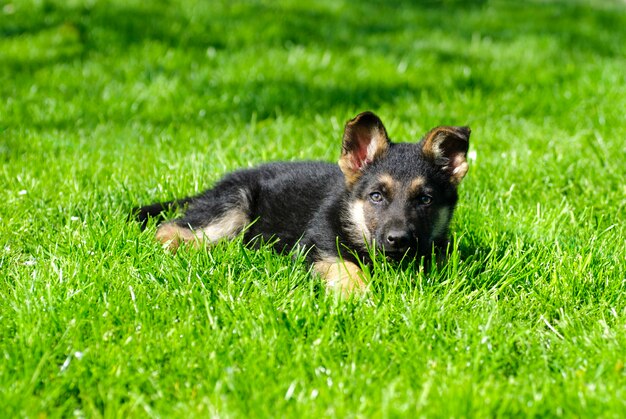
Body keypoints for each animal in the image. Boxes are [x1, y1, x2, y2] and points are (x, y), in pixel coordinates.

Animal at [135, 112, 468, 296]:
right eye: (376, 196)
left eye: (424, 199)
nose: (398, 239)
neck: (351, 216)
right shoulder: (315, 246)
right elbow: (347, 266)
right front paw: (358, 293)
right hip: (234, 207)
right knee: (171, 230)